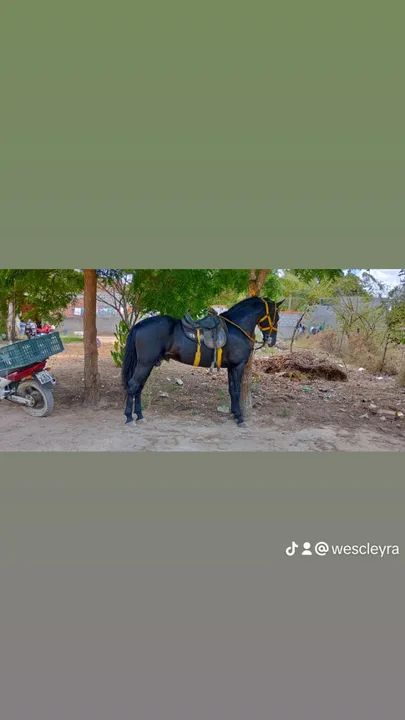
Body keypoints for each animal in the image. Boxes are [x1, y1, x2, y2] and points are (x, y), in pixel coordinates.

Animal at [122, 296, 284, 425]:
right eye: (276, 317)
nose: (272, 341)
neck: (236, 328)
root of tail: (139, 325)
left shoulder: (231, 367)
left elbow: (231, 389)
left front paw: (234, 413)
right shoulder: (238, 366)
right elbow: (236, 390)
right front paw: (239, 418)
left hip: (147, 365)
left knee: (139, 387)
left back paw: (140, 416)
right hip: (145, 364)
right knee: (133, 385)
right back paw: (129, 418)